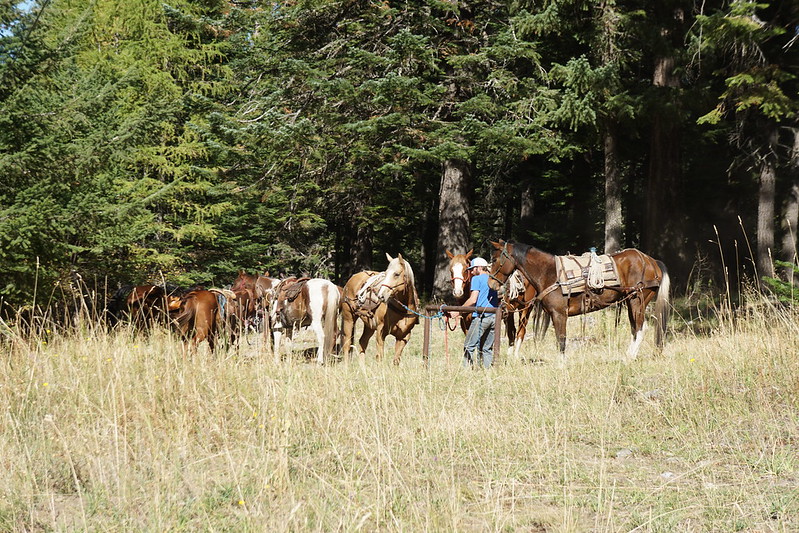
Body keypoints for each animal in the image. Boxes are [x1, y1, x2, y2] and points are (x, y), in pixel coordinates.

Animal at [488, 240, 668, 358]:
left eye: (495, 259)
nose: (491, 283)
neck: (550, 273)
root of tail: (651, 261)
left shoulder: (560, 314)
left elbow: (561, 340)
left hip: (637, 301)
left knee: (640, 328)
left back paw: (629, 358)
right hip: (631, 301)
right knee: (635, 328)